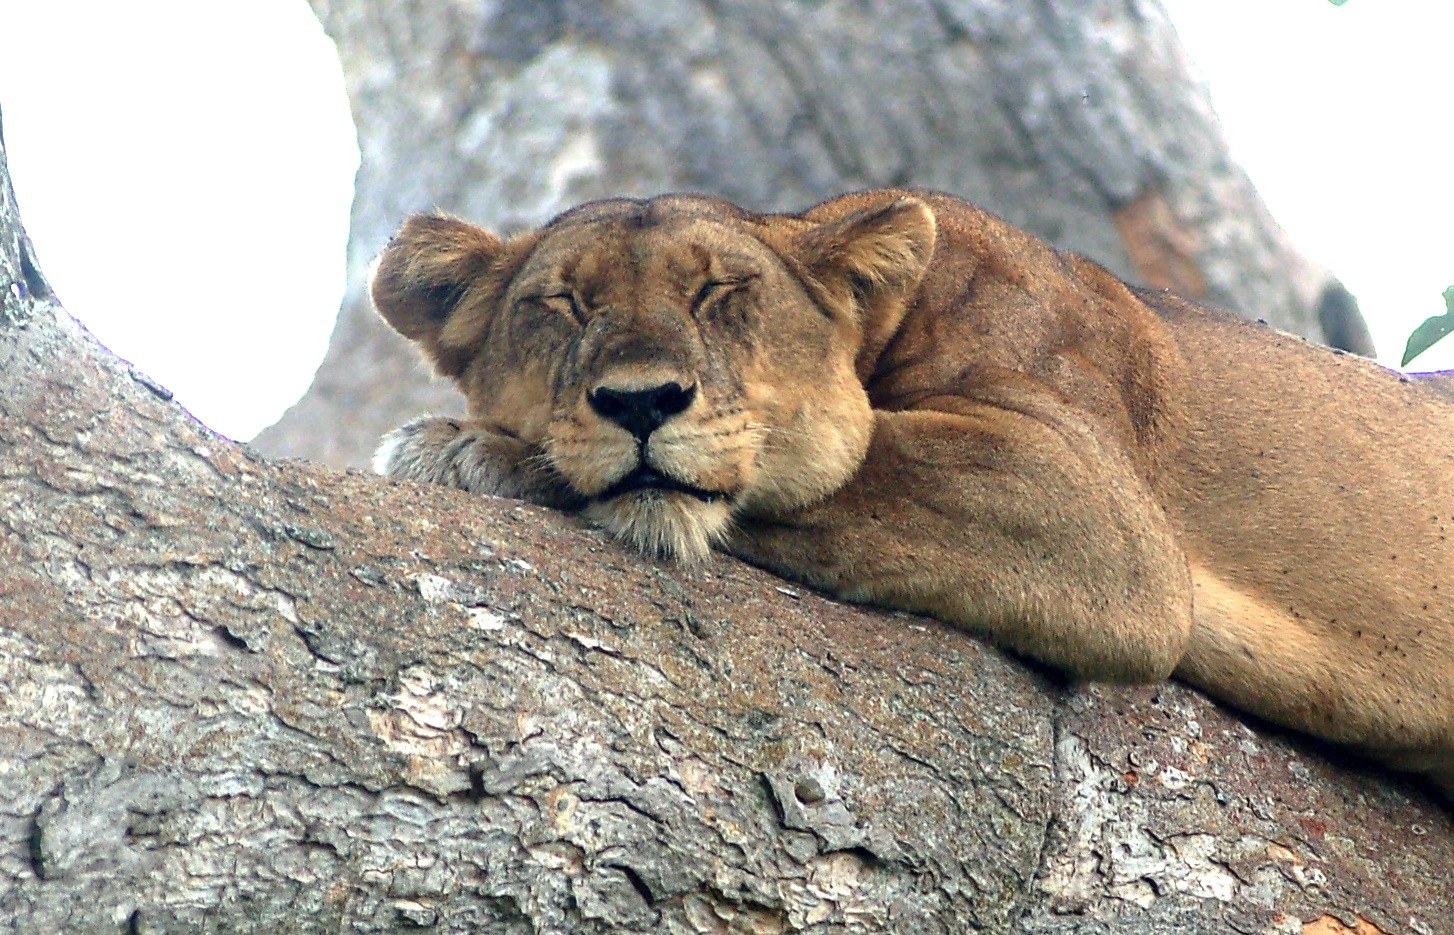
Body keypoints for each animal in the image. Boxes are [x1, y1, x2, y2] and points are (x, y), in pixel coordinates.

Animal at [369, 189, 1454, 798]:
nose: (640, 401)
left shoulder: (1089, 502)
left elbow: (846, 455)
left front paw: (469, 449)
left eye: (719, 293)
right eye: (562, 303)